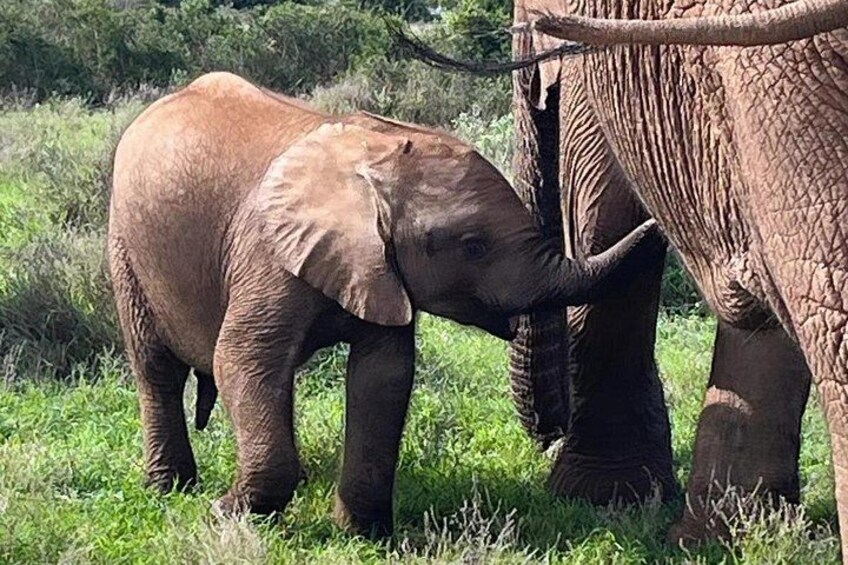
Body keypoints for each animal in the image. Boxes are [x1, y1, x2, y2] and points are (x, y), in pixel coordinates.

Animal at [107, 71, 661, 537]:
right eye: (473, 246)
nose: (656, 223)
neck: (375, 156)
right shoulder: (268, 253)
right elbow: (242, 361)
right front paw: (225, 513)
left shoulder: (379, 268)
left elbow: (383, 375)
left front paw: (364, 535)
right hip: (124, 245)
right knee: (156, 368)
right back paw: (168, 488)